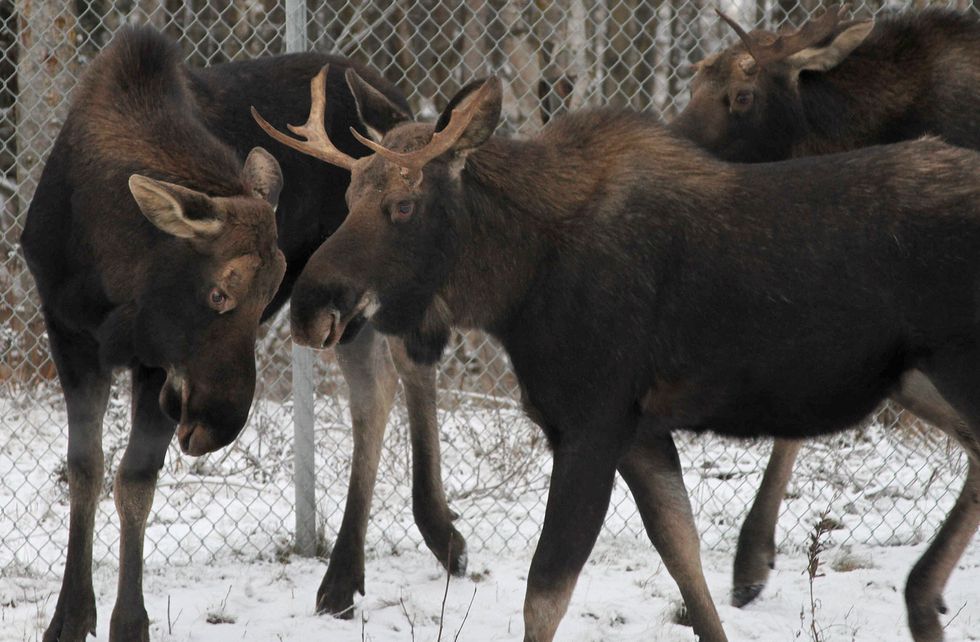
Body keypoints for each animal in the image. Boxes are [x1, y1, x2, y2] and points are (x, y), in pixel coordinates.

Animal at [20, 28, 465, 642]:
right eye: (218, 293)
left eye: (263, 300)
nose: (216, 426)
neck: (106, 262)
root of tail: (400, 110)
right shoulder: (69, 334)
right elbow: (85, 470)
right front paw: (70, 615)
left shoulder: (154, 361)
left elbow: (134, 480)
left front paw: (129, 621)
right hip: (340, 306)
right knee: (375, 394)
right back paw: (344, 578)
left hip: (374, 284)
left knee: (411, 372)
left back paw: (433, 538)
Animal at [256, 68, 980, 642]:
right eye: (349, 197)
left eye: (403, 204)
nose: (310, 305)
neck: (516, 286)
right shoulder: (641, 432)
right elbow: (684, 561)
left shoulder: (591, 423)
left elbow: (545, 597)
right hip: (918, 380)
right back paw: (921, 599)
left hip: (951, 371)